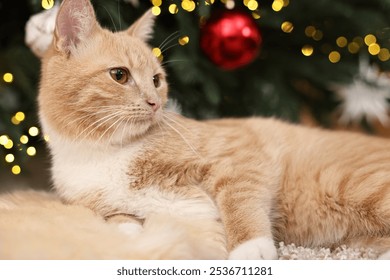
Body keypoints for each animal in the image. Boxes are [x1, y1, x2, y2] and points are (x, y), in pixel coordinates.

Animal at [37, 0, 390, 260]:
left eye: (156, 80)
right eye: (120, 75)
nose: (155, 103)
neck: (105, 152)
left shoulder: (238, 157)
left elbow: (239, 200)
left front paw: (250, 248)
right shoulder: (92, 204)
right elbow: (118, 220)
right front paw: (132, 235)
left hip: (355, 185)